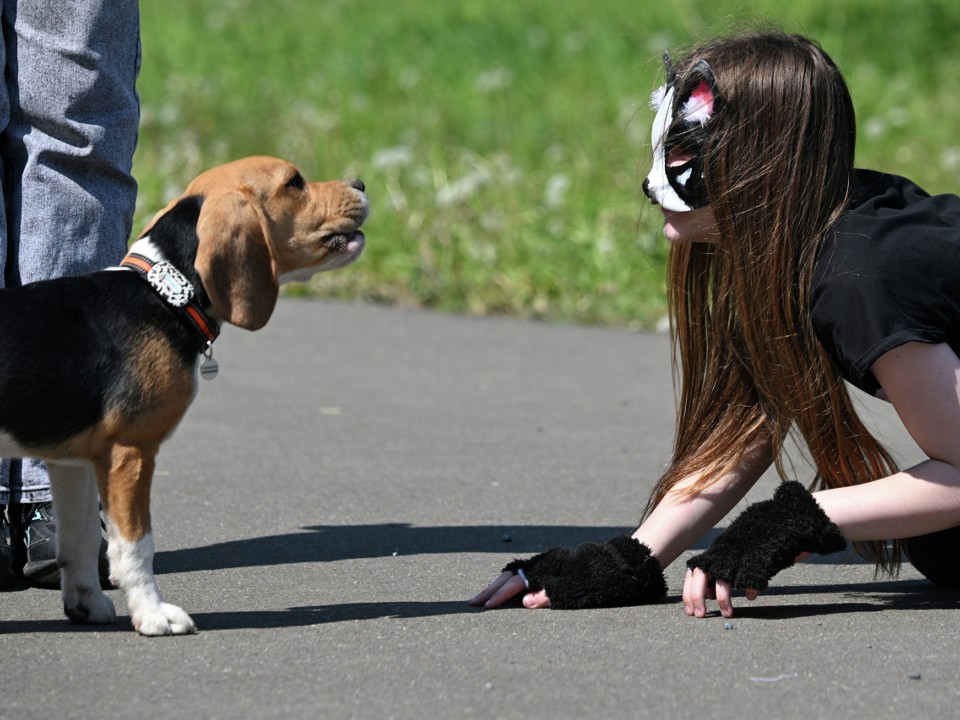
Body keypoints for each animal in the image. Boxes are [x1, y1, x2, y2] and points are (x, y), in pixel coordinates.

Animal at [0, 156, 370, 636]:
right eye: (294, 182)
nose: (361, 183)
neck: (164, 293)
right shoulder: (130, 452)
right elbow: (136, 545)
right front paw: (154, 614)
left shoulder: (72, 462)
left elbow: (80, 539)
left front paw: (87, 604)